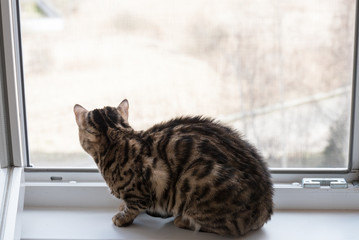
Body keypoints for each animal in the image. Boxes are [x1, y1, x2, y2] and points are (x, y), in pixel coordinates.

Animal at [74, 99, 274, 236]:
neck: (118, 135)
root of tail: (266, 208)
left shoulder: (140, 192)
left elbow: (132, 208)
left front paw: (122, 218)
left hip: (197, 180)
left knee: (225, 226)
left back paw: (183, 220)